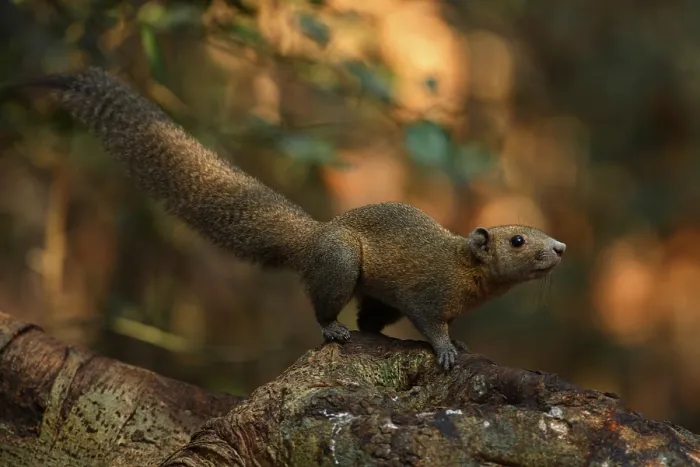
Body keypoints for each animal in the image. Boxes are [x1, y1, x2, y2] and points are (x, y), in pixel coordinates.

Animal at [3, 67, 566, 371]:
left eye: (542, 233)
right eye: (518, 240)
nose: (560, 248)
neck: (466, 276)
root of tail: (315, 235)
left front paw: (462, 343)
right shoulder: (426, 294)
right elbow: (432, 324)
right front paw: (447, 351)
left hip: (375, 294)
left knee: (369, 320)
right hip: (341, 265)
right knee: (329, 309)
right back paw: (334, 332)